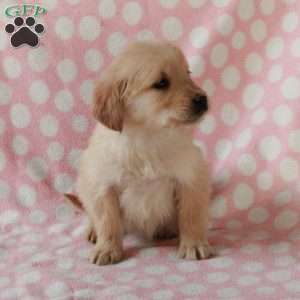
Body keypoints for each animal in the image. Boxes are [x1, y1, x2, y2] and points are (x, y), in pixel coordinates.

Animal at [72, 39, 213, 264]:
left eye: (188, 73)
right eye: (161, 83)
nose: (203, 99)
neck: (148, 137)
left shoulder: (191, 177)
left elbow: (191, 216)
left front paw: (194, 244)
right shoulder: (102, 185)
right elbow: (107, 221)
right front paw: (107, 248)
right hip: (84, 185)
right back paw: (93, 232)